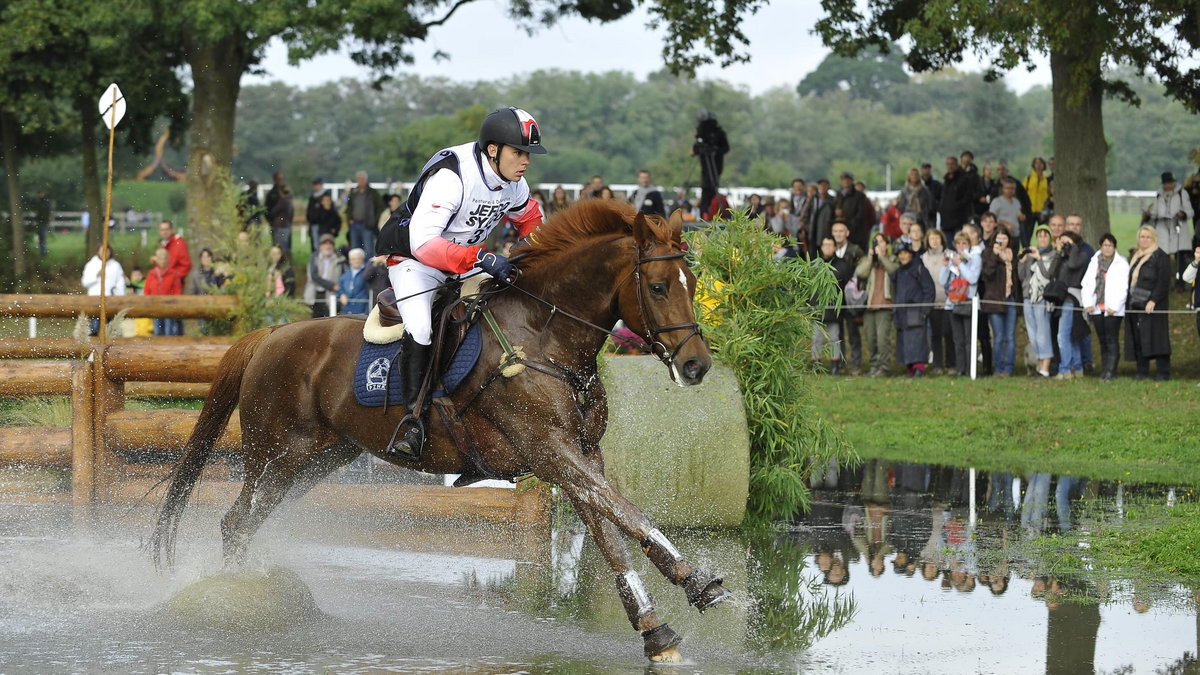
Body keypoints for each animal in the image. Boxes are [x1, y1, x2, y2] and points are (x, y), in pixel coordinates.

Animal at [150, 198, 729, 658]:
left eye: (694, 284)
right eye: (658, 287)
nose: (697, 365)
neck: (546, 340)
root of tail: (270, 334)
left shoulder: (580, 456)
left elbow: (610, 531)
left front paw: (654, 630)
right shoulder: (551, 451)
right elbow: (627, 514)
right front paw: (698, 581)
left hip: (316, 462)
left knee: (247, 521)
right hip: (276, 455)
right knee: (236, 520)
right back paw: (237, 598)